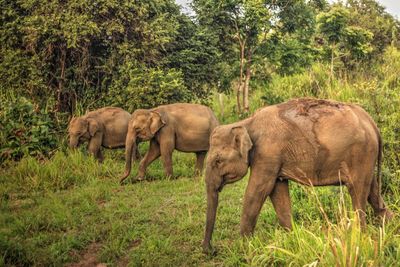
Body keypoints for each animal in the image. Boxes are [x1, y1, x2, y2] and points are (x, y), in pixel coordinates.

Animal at [203, 98, 394, 253]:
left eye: (217, 161)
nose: (210, 250)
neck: (246, 123)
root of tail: (372, 122)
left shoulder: (267, 152)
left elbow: (257, 191)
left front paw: (244, 248)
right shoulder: (274, 158)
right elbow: (277, 191)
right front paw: (292, 239)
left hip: (361, 153)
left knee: (358, 193)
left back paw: (359, 237)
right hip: (367, 157)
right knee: (372, 192)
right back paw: (389, 228)